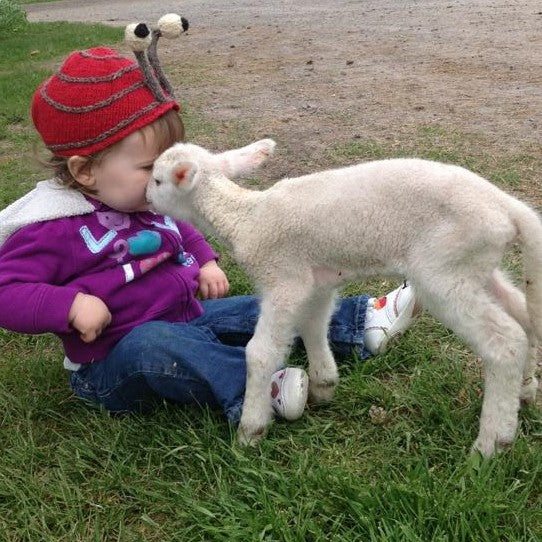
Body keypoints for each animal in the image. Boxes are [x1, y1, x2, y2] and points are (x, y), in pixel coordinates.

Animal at [148, 139, 542, 460]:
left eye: (157, 180)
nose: (147, 199)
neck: (245, 218)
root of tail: (509, 209)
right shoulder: (316, 282)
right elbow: (313, 326)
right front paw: (324, 385)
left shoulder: (284, 279)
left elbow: (260, 353)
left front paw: (250, 431)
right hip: (474, 264)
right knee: (524, 317)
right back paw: (525, 392)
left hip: (443, 270)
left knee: (504, 340)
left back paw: (491, 443)